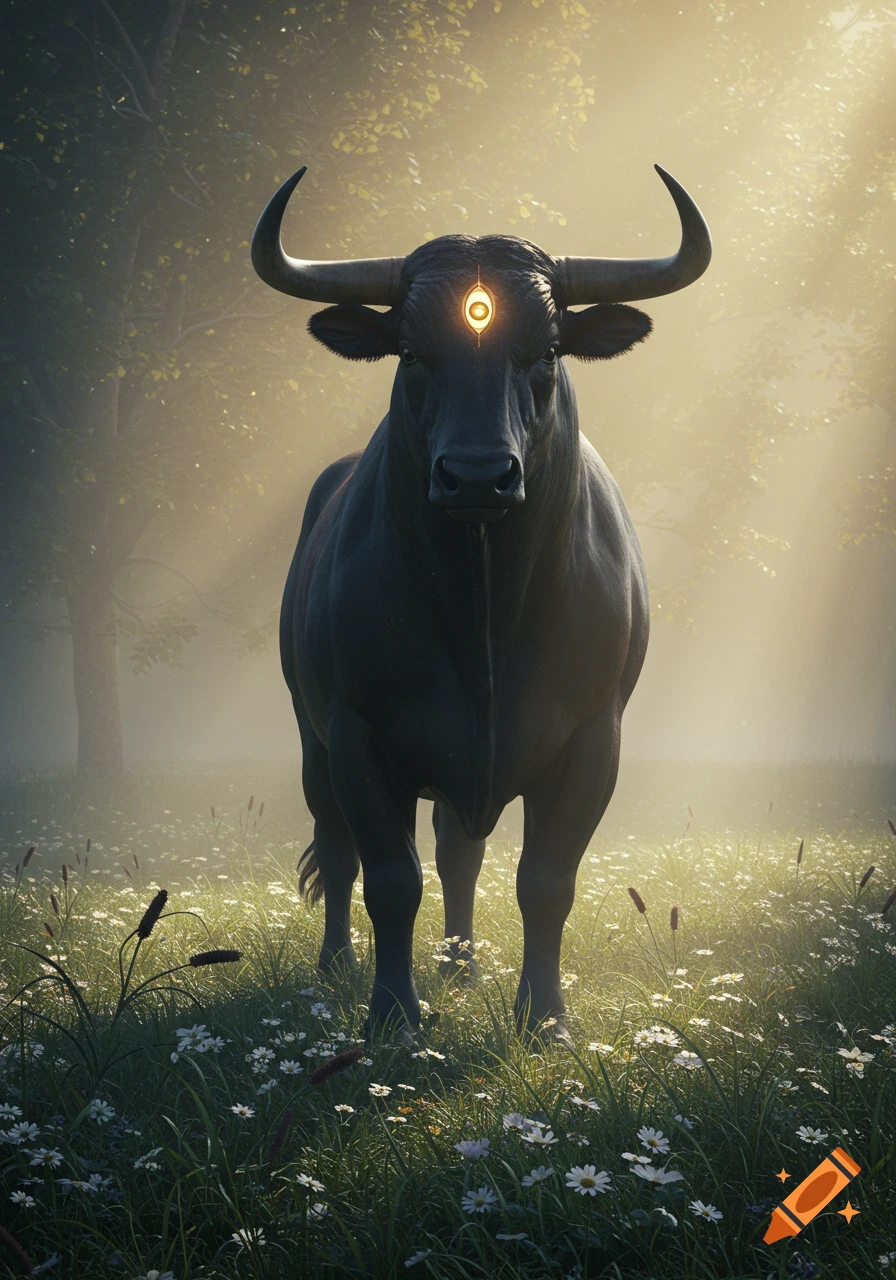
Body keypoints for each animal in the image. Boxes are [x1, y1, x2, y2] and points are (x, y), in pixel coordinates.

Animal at [251, 164, 710, 1044]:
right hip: (308, 734)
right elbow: (389, 879)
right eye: (411, 352)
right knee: (340, 848)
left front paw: (545, 1019)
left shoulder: (593, 738)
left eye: (547, 351)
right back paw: (339, 967)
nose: (475, 476)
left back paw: (460, 967)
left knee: (459, 854)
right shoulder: (357, 732)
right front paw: (392, 1017)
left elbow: (546, 880)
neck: (484, 615)